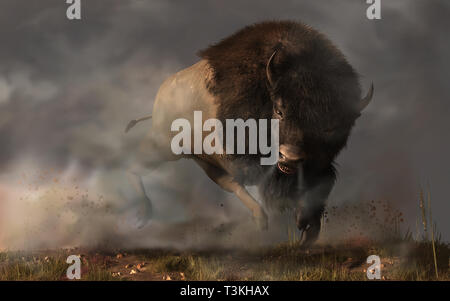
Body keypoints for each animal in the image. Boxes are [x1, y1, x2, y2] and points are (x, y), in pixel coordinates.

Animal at [123, 19, 372, 245]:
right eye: (279, 110)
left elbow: (325, 182)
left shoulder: (317, 163)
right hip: (165, 146)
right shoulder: (238, 156)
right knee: (136, 166)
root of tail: (163, 90)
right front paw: (298, 223)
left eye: (331, 127)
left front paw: (306, 226)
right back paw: (144, 213)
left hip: (200, 159)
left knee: (226, 182)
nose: (290, 157)